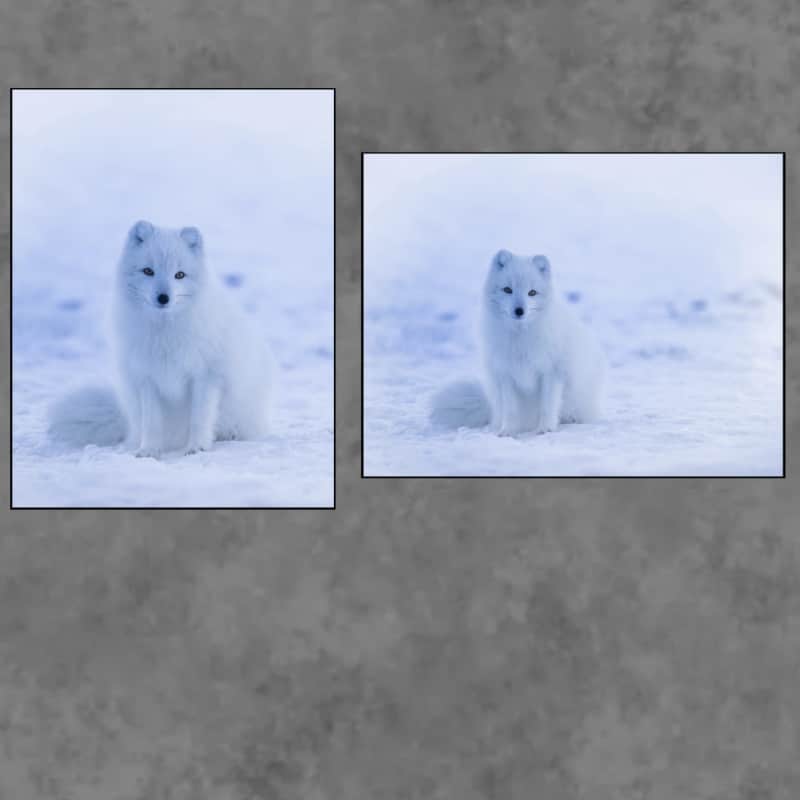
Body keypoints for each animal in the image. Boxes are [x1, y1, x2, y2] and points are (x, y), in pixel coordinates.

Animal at [50, 220, 276, 456]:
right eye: (148, 271)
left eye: (180, 275)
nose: (163, 297)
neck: (164, 332)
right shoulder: (147, 378)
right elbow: (152, 422)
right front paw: (148, 451)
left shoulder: (206, 376)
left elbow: (199, 418)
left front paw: (196, 447)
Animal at [432, 250, 608, 438]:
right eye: (508, 290)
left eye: (532, 292)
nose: (519, 311)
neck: (520, 338)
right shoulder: (505, 374)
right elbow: (510, 410)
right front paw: (507, 431)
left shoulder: (551, 372)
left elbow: (547, 406)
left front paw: (545, 429)